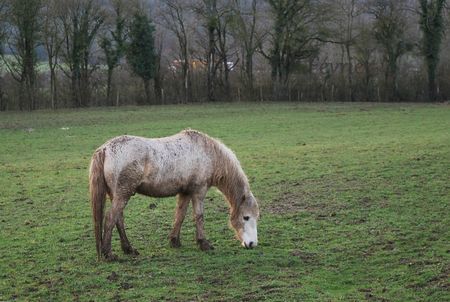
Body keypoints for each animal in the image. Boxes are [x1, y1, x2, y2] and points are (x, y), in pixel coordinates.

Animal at [89, 129, 258, 260]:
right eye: (246, 217)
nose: (252, 244)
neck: (208, 153)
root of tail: (105, 149)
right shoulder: (198, 191)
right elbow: (199, 216)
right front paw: (204, 243)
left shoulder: (185, 192)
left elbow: (180, 215)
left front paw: (174, 241)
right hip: (122, 195)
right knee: (110, 219)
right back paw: (109, 254)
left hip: (116, 195)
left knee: (119, 220)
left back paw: (128, 249)